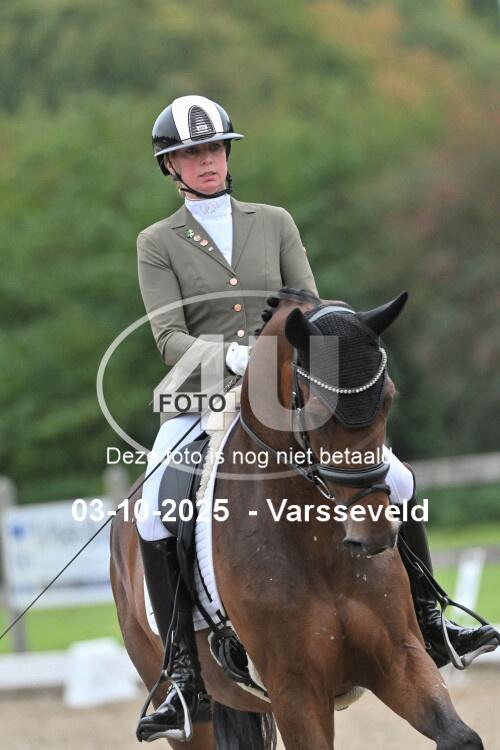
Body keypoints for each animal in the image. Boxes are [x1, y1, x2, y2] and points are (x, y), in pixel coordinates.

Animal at [110, 288, 484, 750]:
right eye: (317, 409)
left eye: (389, 398)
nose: (374, 531)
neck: (316, 546)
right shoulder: (296, 691)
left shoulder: (401, 660)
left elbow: (461, 736)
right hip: (188, 718)